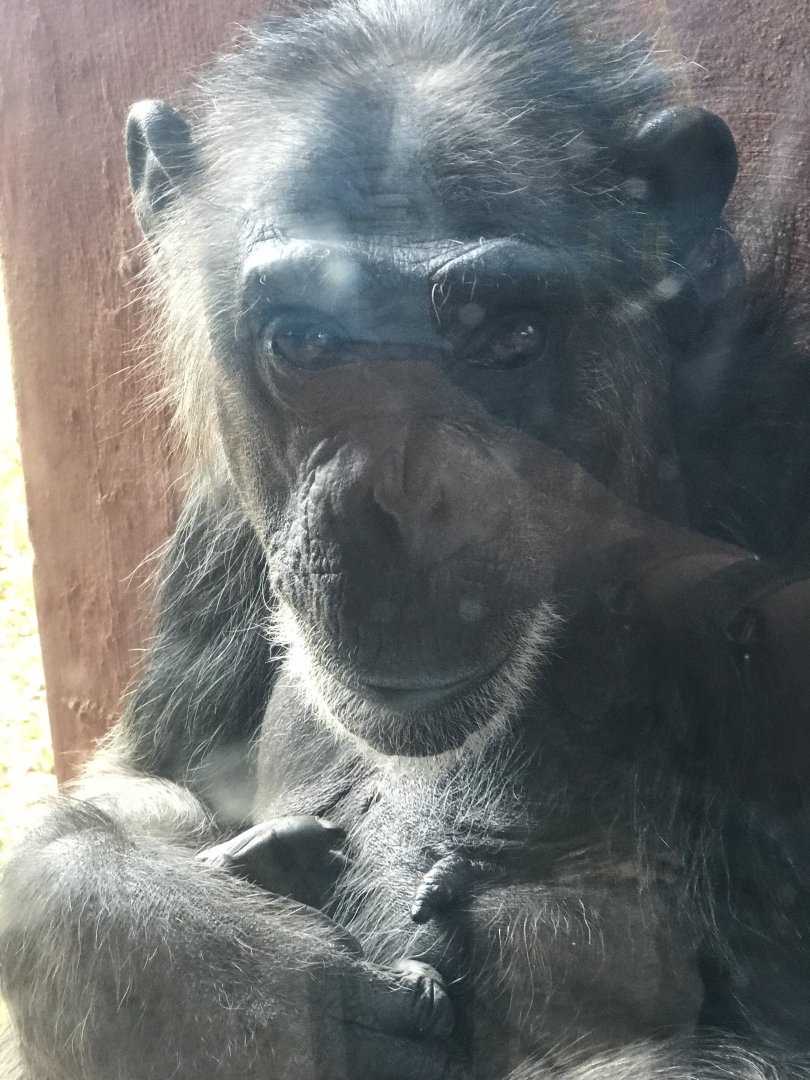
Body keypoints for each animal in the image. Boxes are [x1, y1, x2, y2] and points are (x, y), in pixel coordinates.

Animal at [2, 0, 810, 1077]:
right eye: (307, 339)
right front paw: (209, 967)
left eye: (508, 337)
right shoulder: (220, 524)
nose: (402, 502)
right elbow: (138, 778)